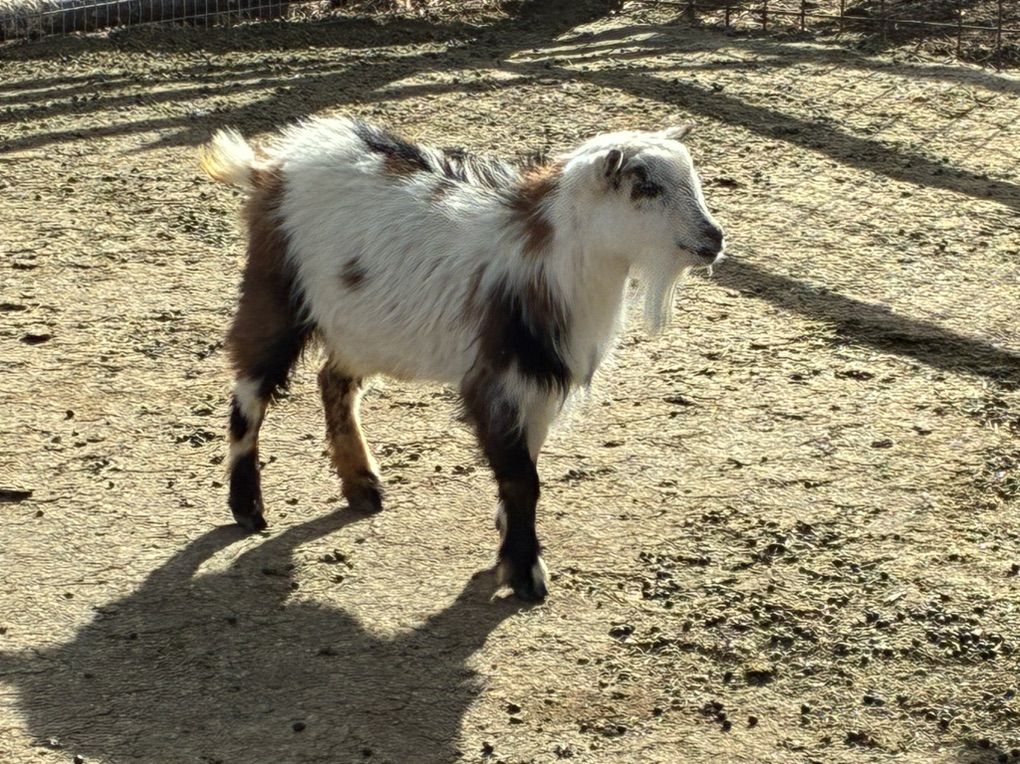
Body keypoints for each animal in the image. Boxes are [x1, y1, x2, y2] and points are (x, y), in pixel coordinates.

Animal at [200, 117, 725, 601]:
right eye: (646, 187)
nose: (714, 239)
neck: (552, 257)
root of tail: (272, 166)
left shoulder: (536, 383)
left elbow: (527, 461)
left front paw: (508, 541)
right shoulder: (498, 378)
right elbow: (522, 479)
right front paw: (525, 572)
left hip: (362, 326)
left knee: (334, 381)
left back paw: (362, 486)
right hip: (276, 290)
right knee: (250, 388)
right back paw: (248, 507)